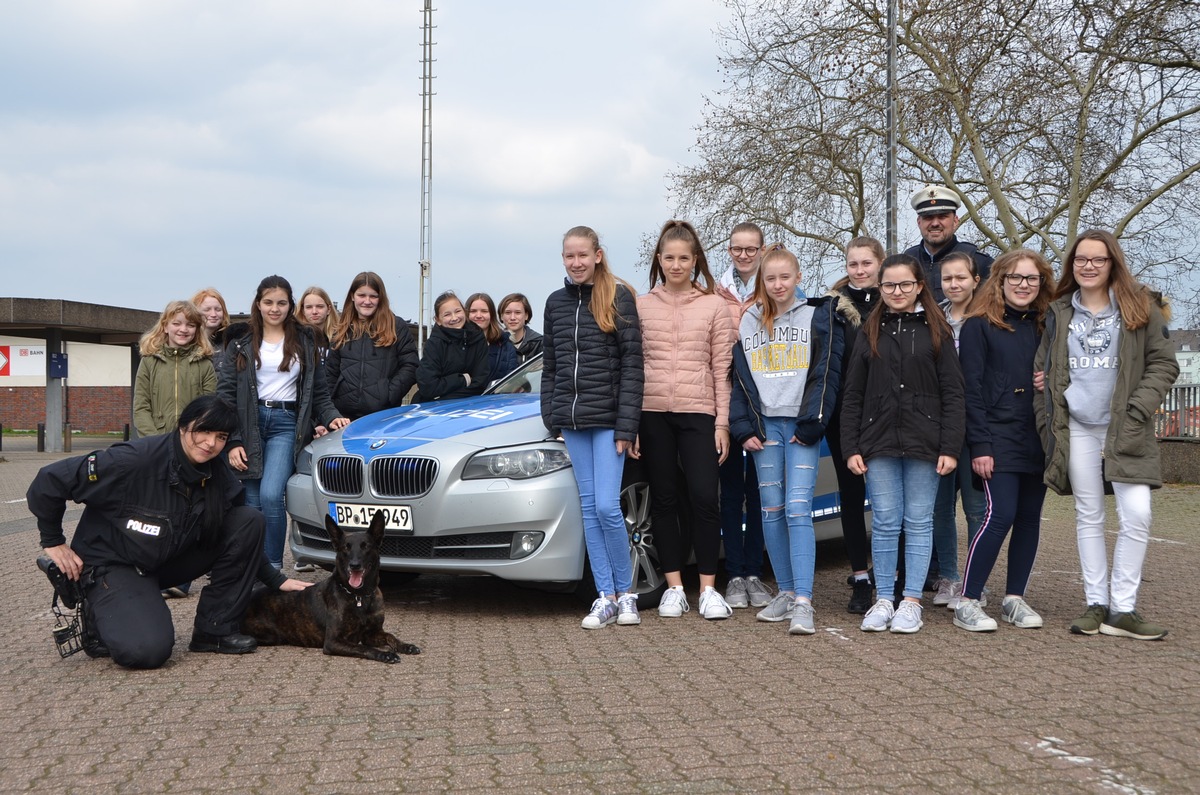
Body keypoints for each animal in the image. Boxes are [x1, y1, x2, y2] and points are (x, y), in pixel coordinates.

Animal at [241, 513, 420, 662]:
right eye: (346, 547)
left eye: (366, 546)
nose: (354, 565)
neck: (359, 595)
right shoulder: (334, 641)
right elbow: (363, 648)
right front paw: (385, 654)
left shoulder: (372, 633)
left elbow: (390, 636)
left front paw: (405, 645)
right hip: (270, 636)